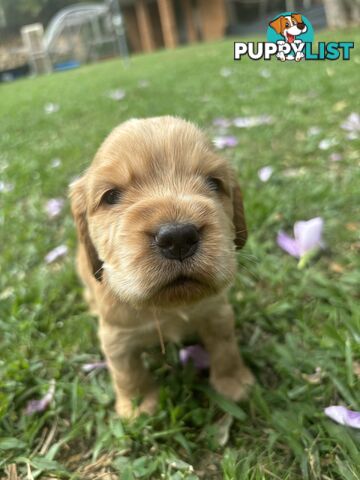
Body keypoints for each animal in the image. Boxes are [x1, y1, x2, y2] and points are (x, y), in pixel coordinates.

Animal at [70, 115, 253, 416]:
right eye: (111, 196)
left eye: (214, 183)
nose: (178, 238)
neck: (168, 305)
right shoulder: (117, 338)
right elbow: (128, 374)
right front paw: (138, 407)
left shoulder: (217, 313)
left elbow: (226, 349)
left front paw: (234, 384)